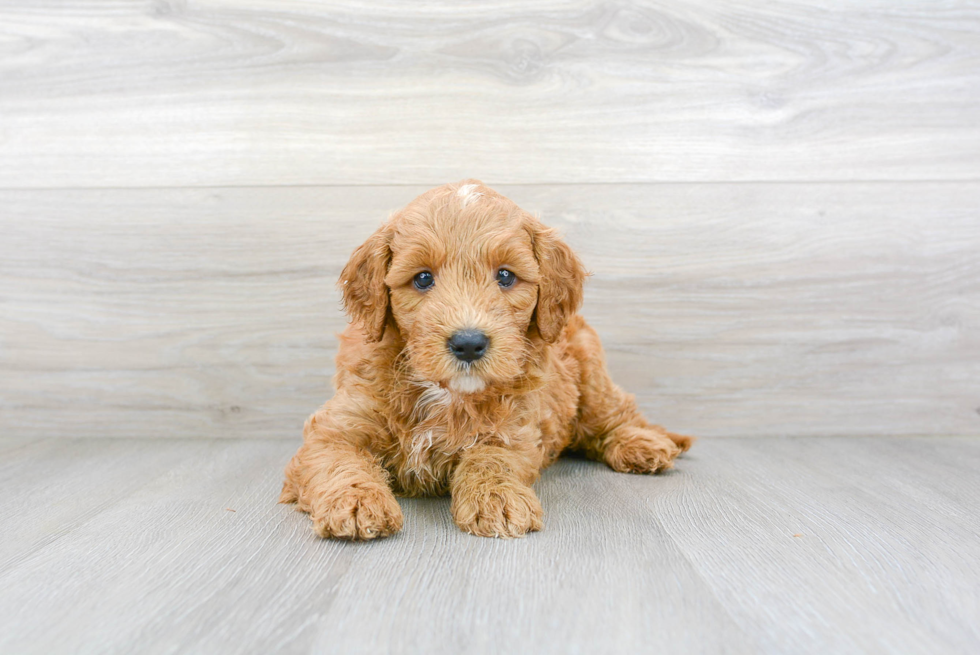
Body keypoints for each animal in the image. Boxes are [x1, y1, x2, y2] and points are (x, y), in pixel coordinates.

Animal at [280, 179, 692, 540]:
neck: (444, 394)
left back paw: (643, 443)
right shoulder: (337, 427)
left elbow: (490, 459)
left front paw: (498, 499)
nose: (468, 343)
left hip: (591, 376)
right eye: (423, 278)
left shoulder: (515, 429)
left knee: (615, 413)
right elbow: (340, 461)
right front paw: (356, 502)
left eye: (505, 276)